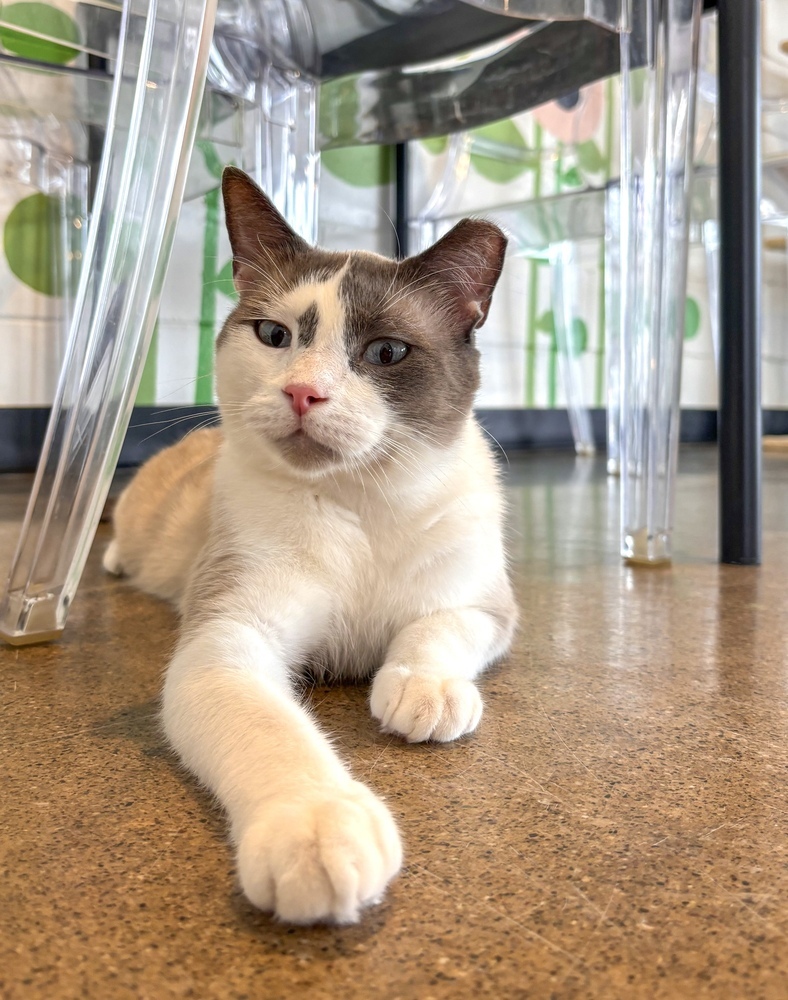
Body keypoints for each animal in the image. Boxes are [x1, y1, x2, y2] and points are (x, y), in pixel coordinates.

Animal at [104, 168, 516, 924]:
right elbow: (273, 729)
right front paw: (319, 831)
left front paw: (424, 693)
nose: (302, 392)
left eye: (386, 352)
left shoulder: (485, 606)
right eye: (275, 335)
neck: (358, 503)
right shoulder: (226, 640)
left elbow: (435, 631)